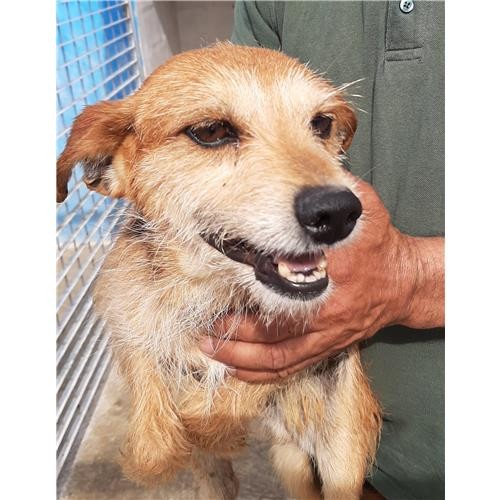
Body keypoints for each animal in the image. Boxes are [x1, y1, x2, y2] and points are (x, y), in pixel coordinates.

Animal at [57, 43, 381, 500]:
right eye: (211, 131)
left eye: (321, 123)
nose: (338, 213)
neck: (207, 290)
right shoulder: (127, 308)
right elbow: (154, 443)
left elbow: (216, 411)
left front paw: (215, 418)